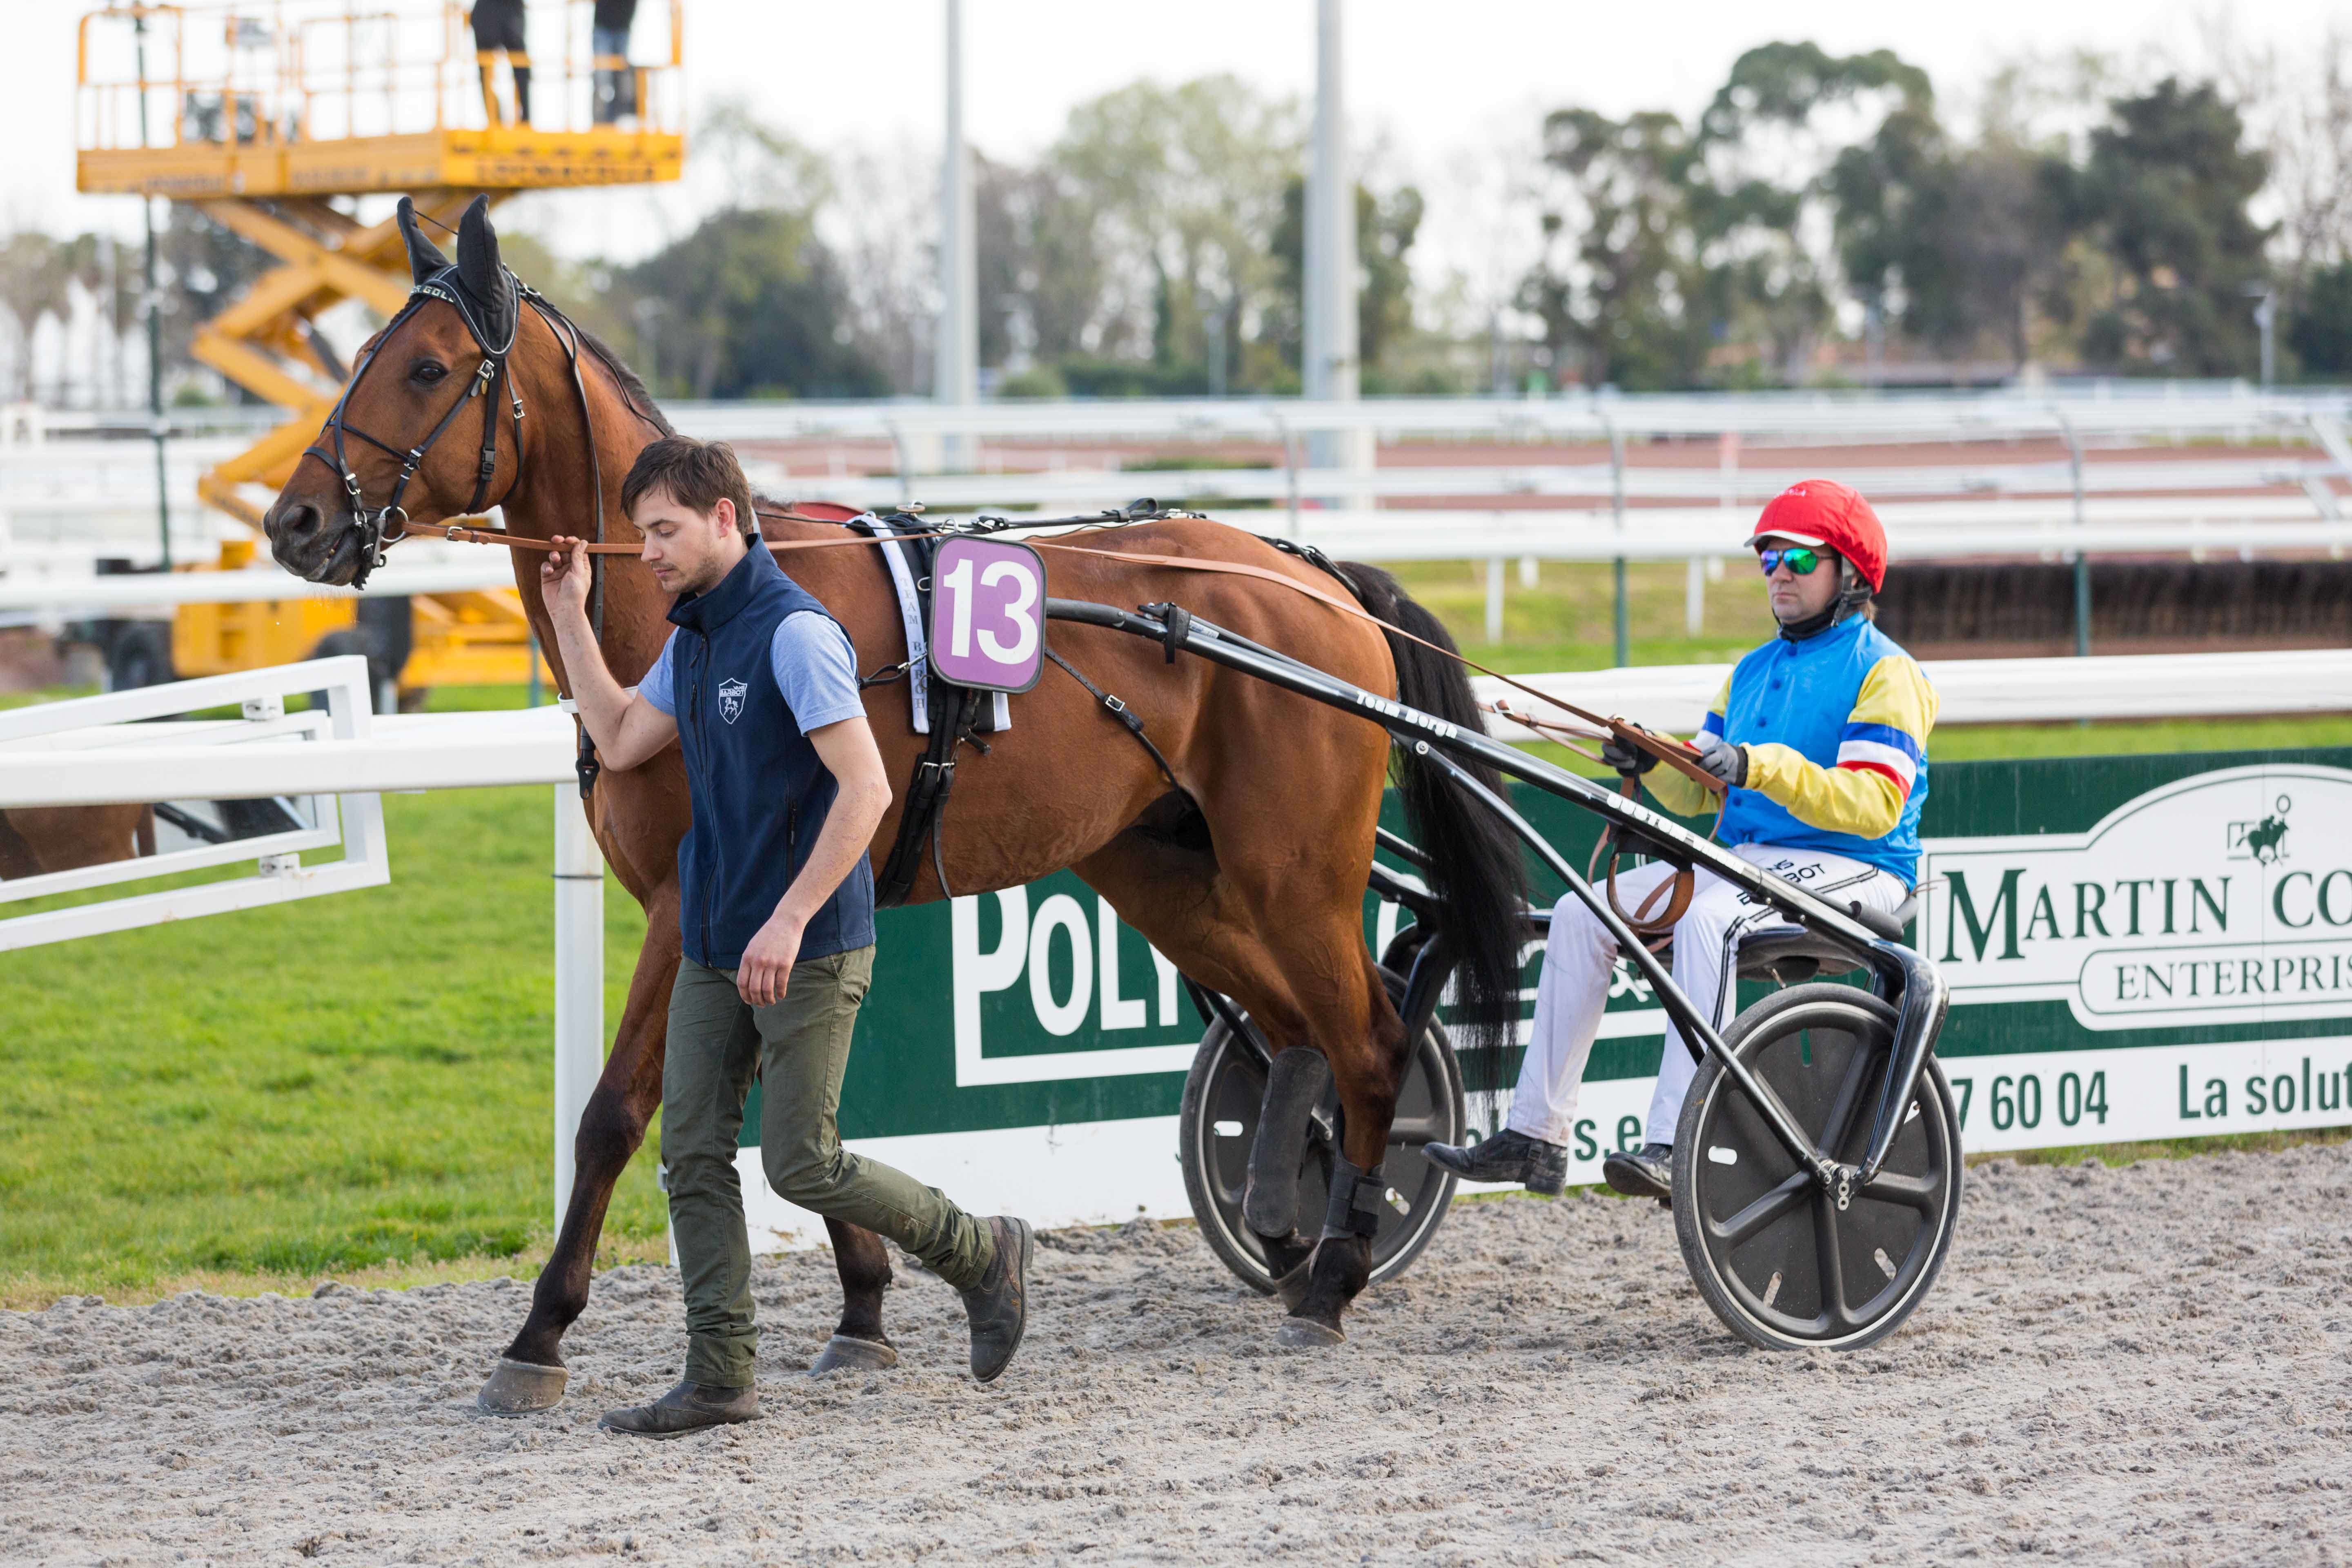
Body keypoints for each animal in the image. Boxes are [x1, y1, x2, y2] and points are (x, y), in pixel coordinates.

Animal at [248, 196, 1515, 1410]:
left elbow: (617, 1112)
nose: (292, 522)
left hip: (1291, 871)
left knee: (1371, 1041)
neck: (697, 609)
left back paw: (1337, 1271)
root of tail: (1318, 579)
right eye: (360, 353)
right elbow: (793, 1119)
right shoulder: (760, 909)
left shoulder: (687, 903)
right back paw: (1291, 1241)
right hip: (1163, 870)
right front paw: (862, 1308)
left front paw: (539, 1334)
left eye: (426, 367)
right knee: (1299, 1032)